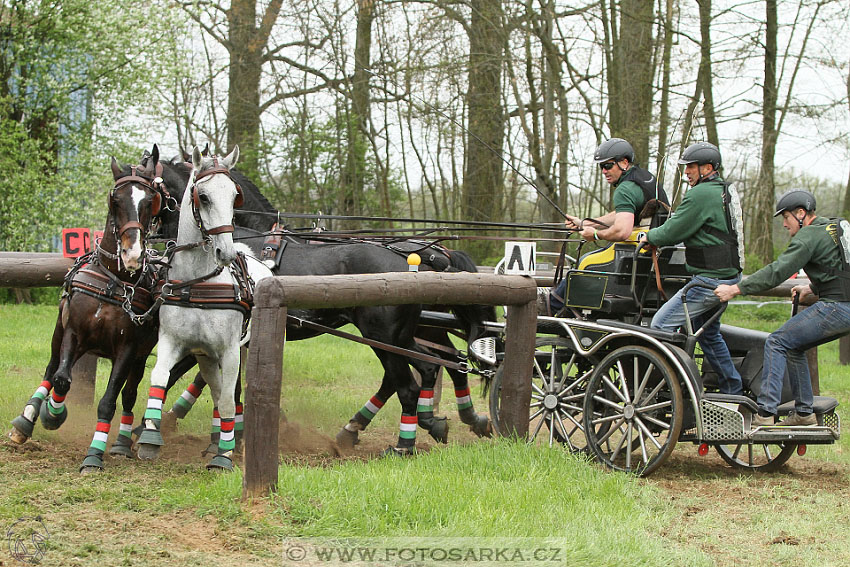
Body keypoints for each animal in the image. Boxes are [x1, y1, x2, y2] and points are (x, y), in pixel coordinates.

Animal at [8, 146, 167, 474]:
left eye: (149, 201)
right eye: (115, 200)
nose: (133, 254)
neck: (114, 281)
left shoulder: (128, 349)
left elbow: (109, 400)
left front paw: (94, 455)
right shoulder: (74, 332)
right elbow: (61, 379)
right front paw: (53, 414)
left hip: (139, 355)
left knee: (129, 393)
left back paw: (121, 444)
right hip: (60, 334)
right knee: (51, 370)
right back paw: (27, 420)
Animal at [137, 146, 268, 470]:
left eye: (234, 196)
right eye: (204, 196)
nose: (227, 252)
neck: (198, 282)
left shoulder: (231, 351)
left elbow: (229, 401)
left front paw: (225, 456)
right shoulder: (173, 341)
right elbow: (160, 378)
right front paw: (149, 439)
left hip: (242, 348)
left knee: (229, 394)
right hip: (205, 356)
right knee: (217, 389)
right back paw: (214, 440)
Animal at [149, 151, 494, 452]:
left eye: (146, 190)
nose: (142, 244)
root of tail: (430, 254)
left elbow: (187, 372)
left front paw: (165, 421)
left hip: (387, 336)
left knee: (413, 379)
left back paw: (402, 441)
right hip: (406, 335)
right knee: (435, 365)